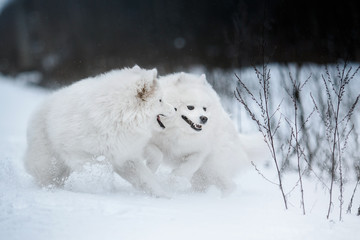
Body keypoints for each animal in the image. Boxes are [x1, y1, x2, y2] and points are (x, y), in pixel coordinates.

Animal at [23, 65, 174, 197]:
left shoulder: (124, 156)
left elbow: (146, 178)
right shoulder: (85, 155)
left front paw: (163, 195)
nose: (175, 109)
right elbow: (97, 175)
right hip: (50, 164)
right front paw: (99, 191)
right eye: (160, 100)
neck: (118, 114)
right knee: (47, 177)